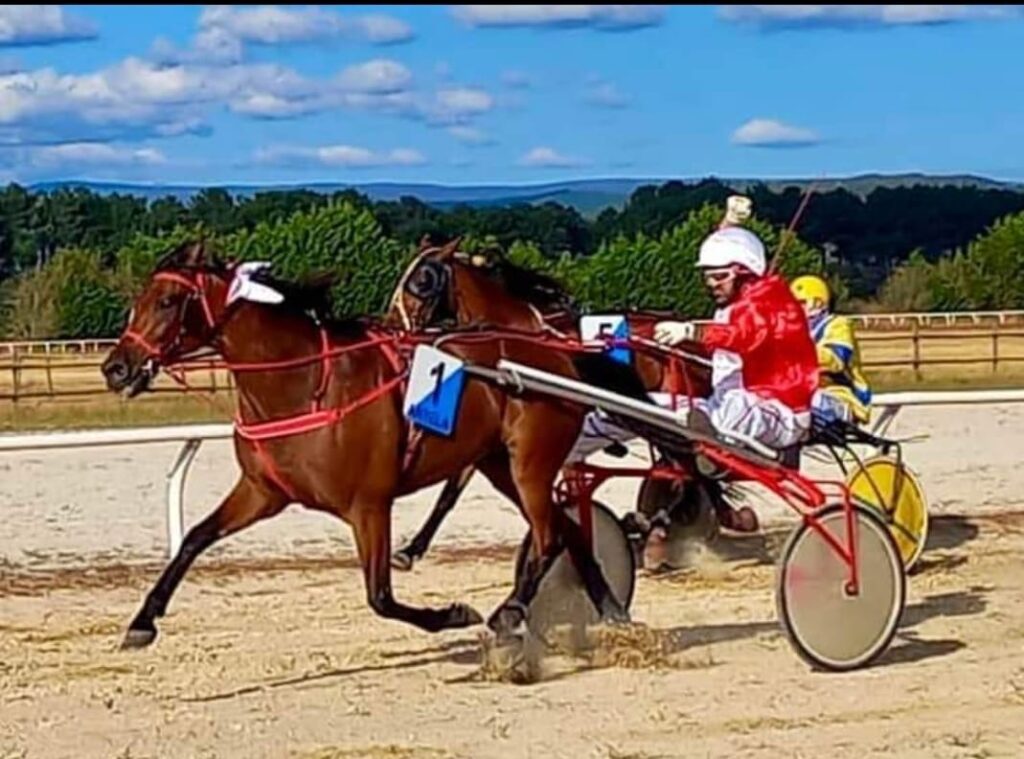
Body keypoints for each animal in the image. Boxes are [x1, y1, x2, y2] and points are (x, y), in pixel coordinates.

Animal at [103, 239, 626, 647]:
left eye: (168, 301)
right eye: (140, 298)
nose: (116, 368)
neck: (304, 383)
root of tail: (552, 354)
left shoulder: (370, 504)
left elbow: (380, 597)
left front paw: (454, 613)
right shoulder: (262, 491)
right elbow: (194, 538)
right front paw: (142, 621)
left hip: (529, 463)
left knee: (548, 535)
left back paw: (511, 611)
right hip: (501, 465)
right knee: (567, 529)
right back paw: (611, 607)